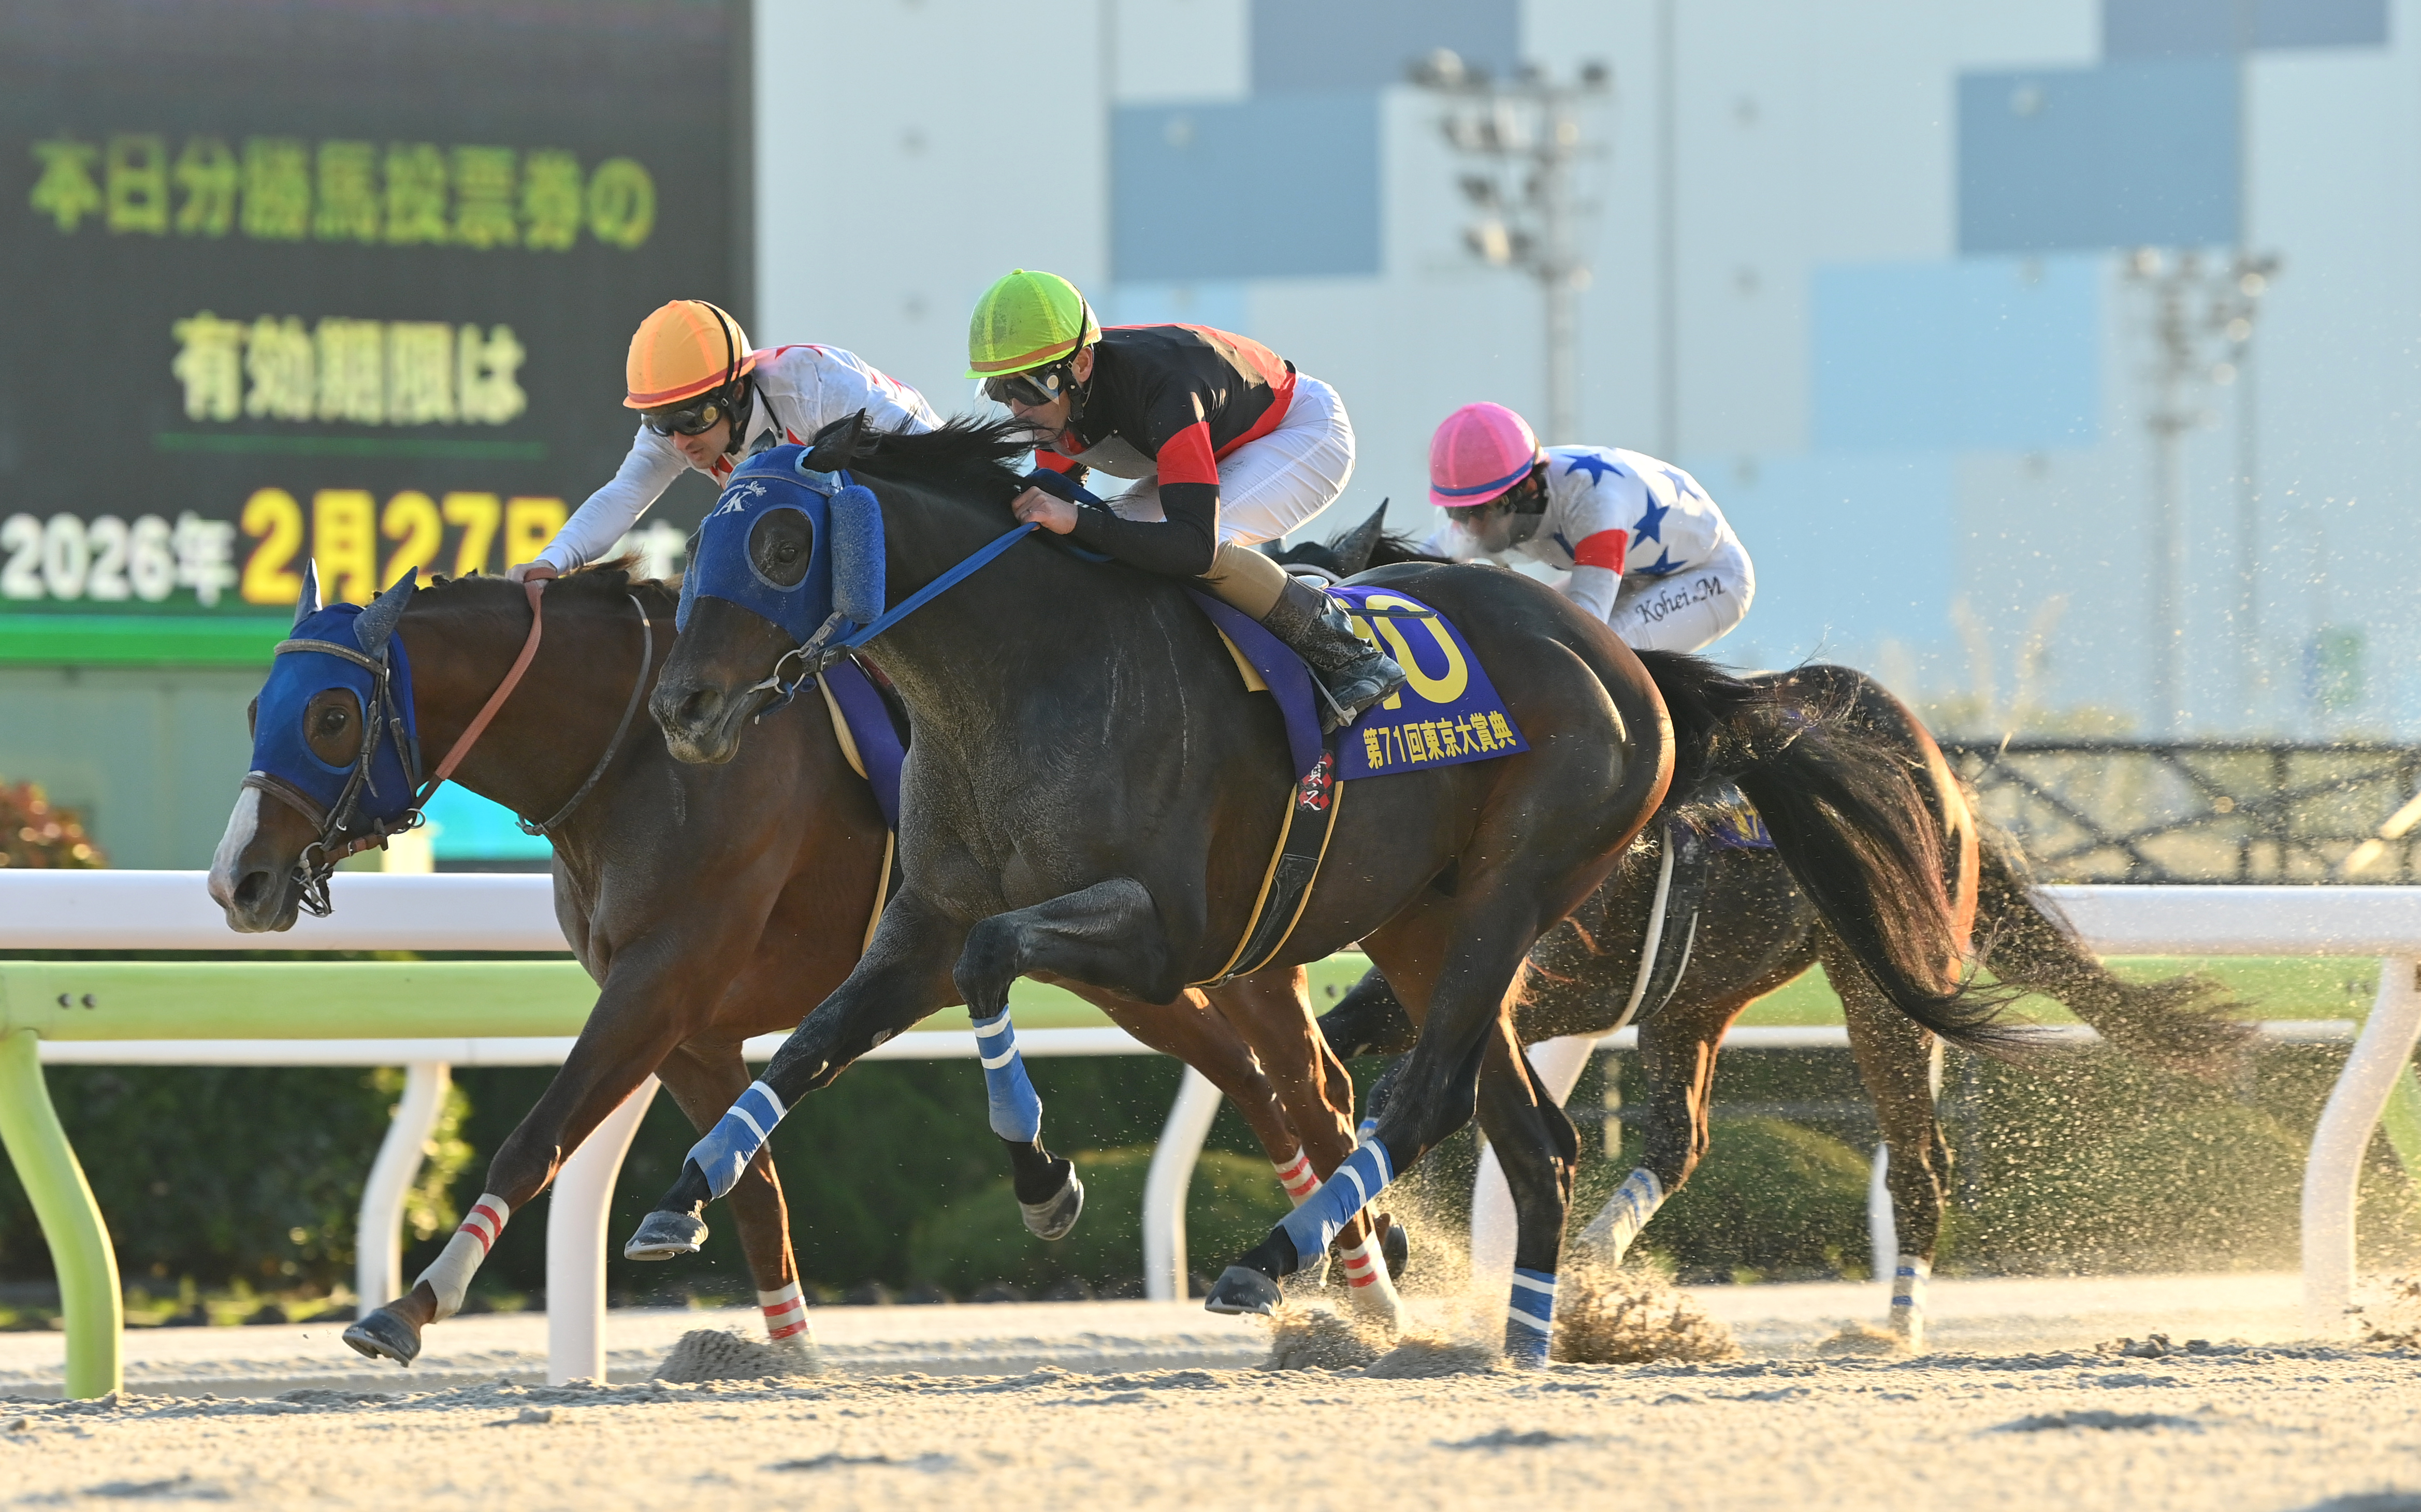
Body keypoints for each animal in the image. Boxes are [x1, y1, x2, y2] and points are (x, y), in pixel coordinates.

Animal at [204, 559, 1395, 1368]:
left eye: (332, 712)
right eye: (254, 707)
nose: (236, 882)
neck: (634, 757)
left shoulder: (660, 981)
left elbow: (535, 1139)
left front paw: (411, 1306)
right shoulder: (688, 1024)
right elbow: (756, 1190)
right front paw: (789, 1349)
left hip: (1212, 951)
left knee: (1304, 1087)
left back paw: (1372, 1289)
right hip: (1128, 971)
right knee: (1261, 1083)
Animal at [628, 414, 2015, 1364]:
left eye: (779, 539)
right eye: (700, 544)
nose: (683, 707)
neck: (1021, 672)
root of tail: (1628, 665)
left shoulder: (1166, 935)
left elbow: (992, 970)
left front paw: (1045, 1182)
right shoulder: (921, 922)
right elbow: (804, 1047)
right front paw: (679, 1195)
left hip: (1512, 892)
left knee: (1434, 1093)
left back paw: (1270, 1260)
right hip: (1423, 925)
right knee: (1535, 1134)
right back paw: (1518, 1343)